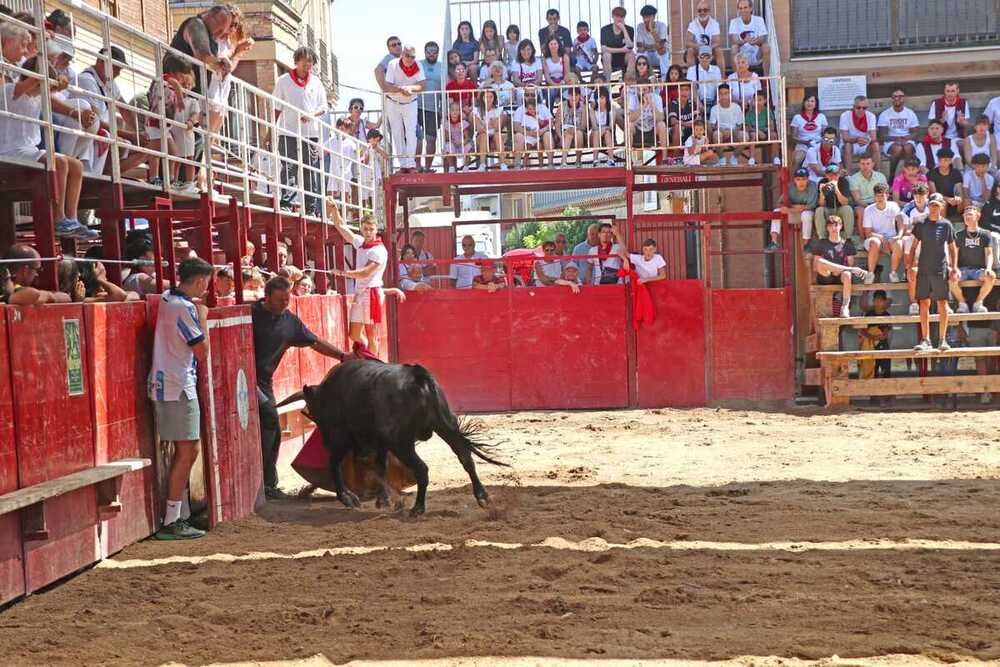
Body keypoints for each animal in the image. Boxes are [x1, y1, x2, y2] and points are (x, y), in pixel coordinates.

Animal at [276, 360, 504, 516]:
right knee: (465, 458)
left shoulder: (342, 439)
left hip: (401, 443)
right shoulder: (381, 444)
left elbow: (336, 465)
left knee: (422, 469)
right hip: (445, 426)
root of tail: (419, 376)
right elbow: (380, 468)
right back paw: (483, 498)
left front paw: (349, 498)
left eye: (314, 413)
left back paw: (417, 508)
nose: (323, 438)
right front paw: (383, 501)